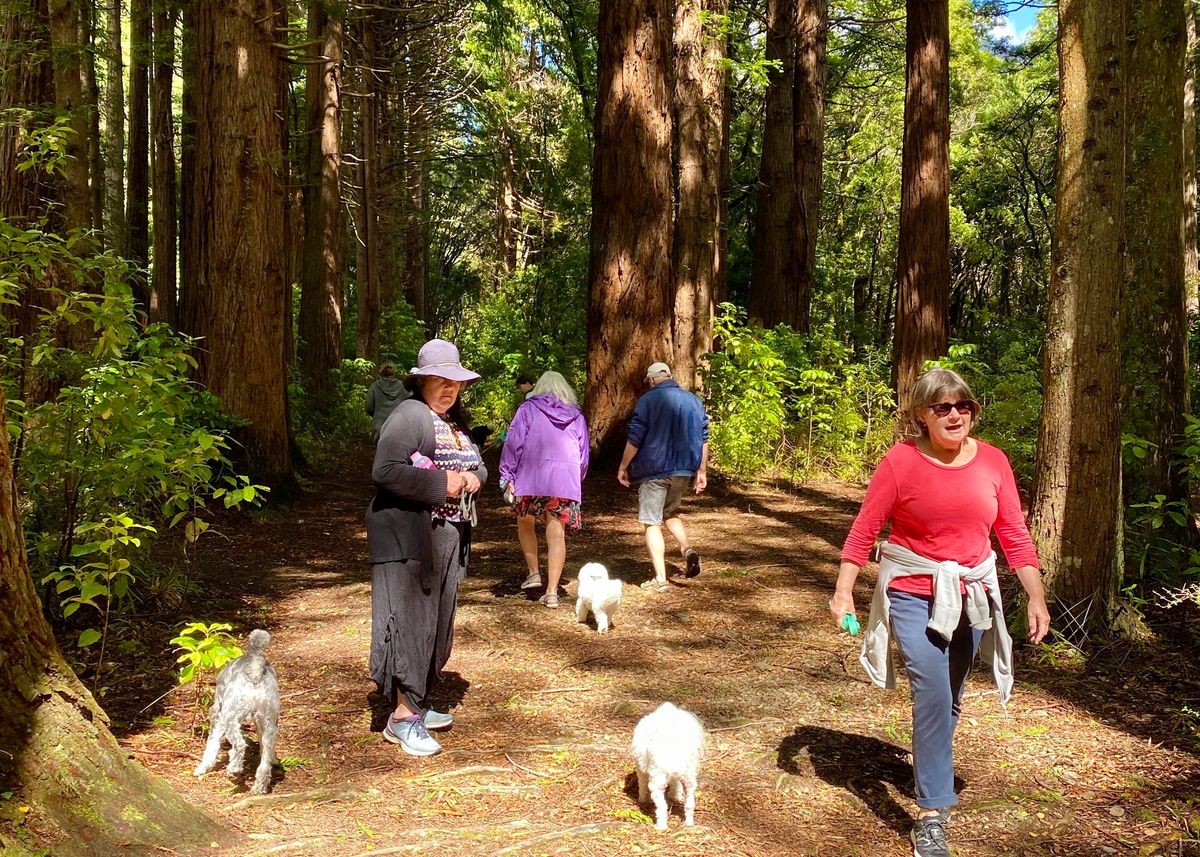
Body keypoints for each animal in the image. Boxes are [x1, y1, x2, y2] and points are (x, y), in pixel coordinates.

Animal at [194, 624, 278, 792]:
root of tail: (255, 669)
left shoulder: (218, 715)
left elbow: (212, 744)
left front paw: (203, 767)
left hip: (231, 717)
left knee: (239, 744)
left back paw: (234, 769)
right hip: (269, 724)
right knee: (265, 762)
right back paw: (259, 787)